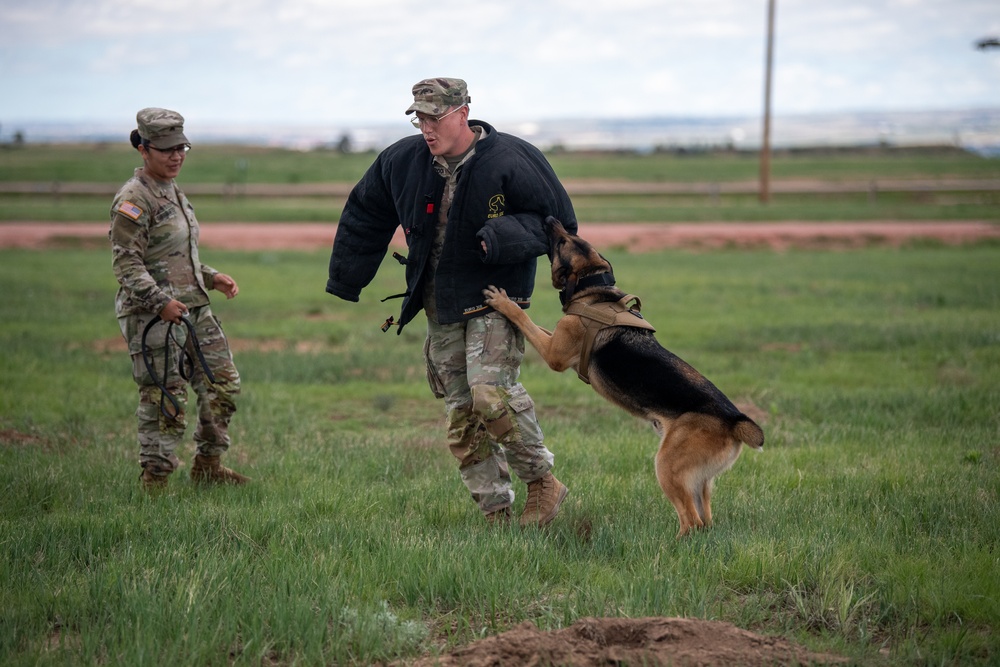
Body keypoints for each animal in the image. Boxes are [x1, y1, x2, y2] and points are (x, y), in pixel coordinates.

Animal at [480, 218, 760, 536]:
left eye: (563, 242)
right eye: (573, 238)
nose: (551, 220)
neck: (592, 287)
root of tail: (735, 420)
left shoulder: (554, 354)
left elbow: (524, 319)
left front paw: (503, 302)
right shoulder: (555, 339)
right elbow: (538, 325)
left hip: (666, 466)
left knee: (691, 521)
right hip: (699, 481)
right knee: (704, 521)